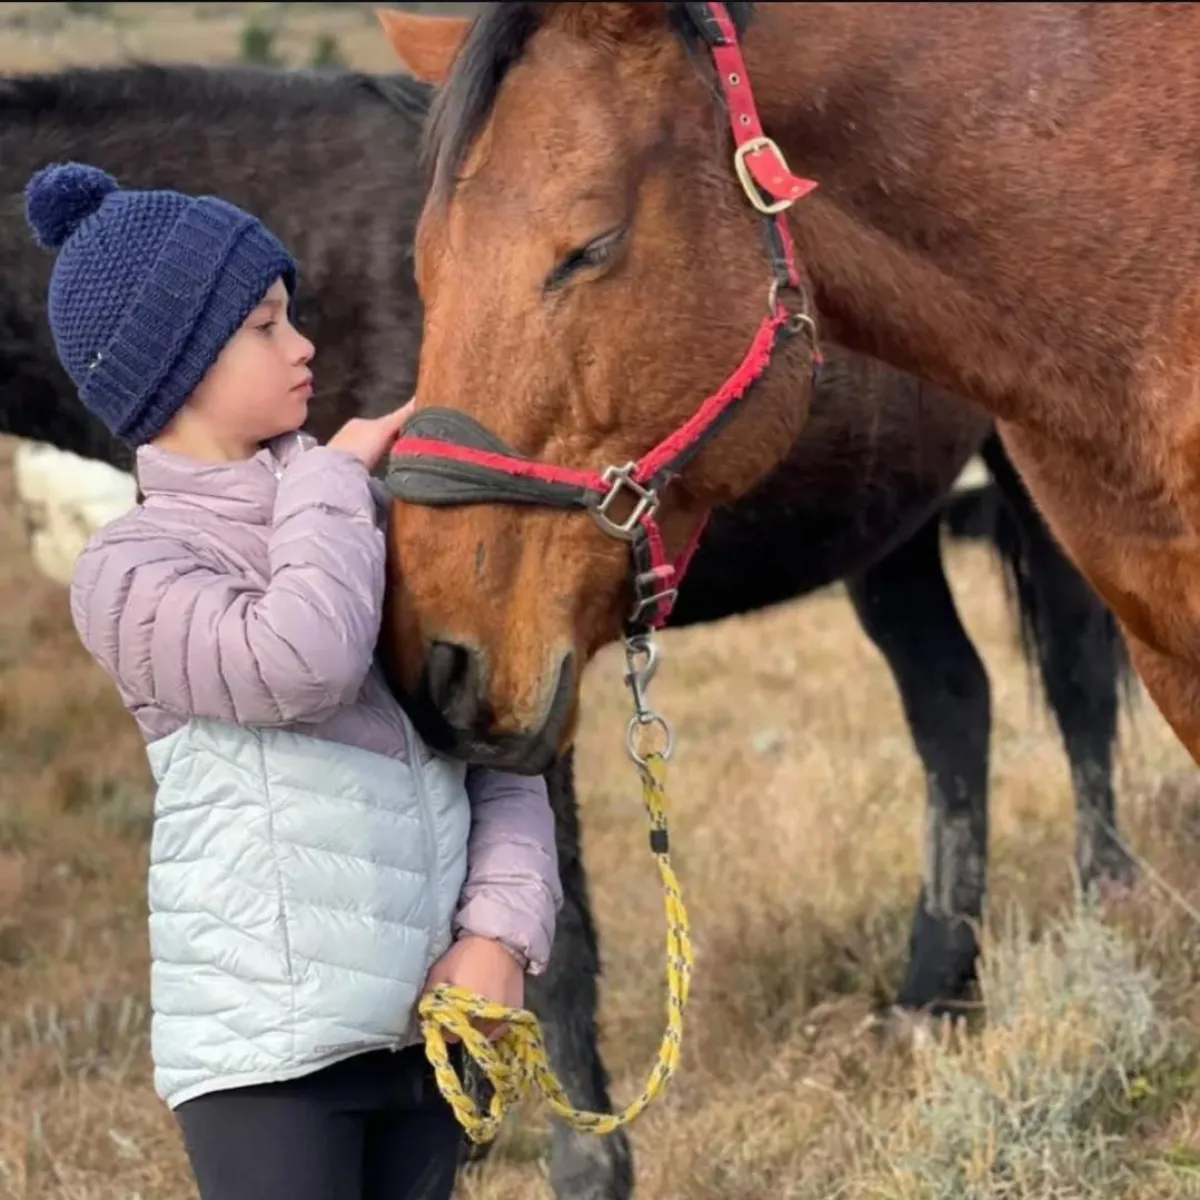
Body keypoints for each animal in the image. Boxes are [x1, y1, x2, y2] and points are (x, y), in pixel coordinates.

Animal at [0, 60, 1130, 1200]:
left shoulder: (513, 685)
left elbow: (554, 932)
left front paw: (585, 1159)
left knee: (1077, 687)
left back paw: (1102, 918)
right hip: (885, 530)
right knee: (952, 702)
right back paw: (934, 992)